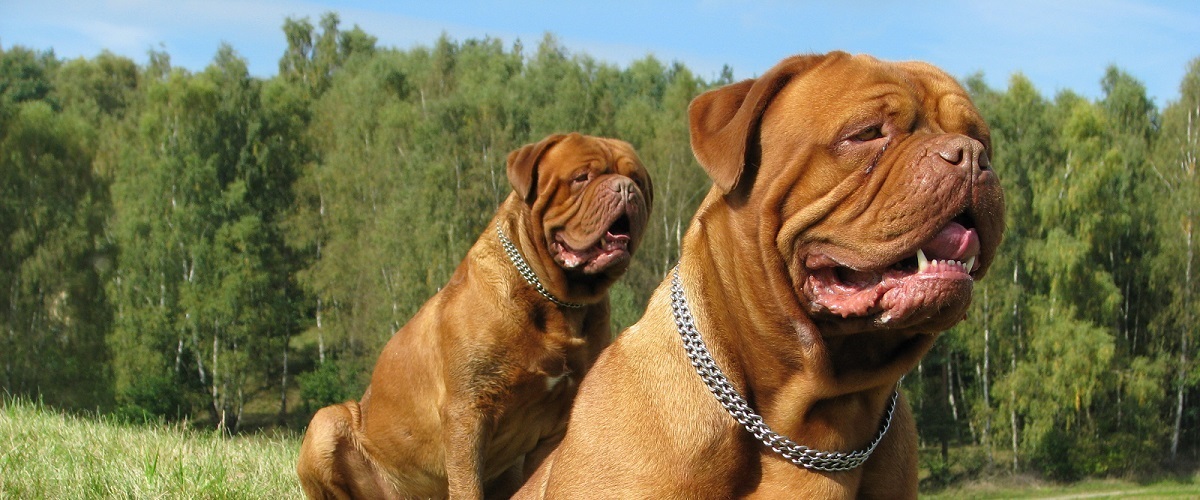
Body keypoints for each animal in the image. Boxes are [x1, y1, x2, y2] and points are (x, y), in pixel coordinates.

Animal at [296, 132, 653, 499]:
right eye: (581, 177)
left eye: (638, 180)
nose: (626, 189)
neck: (552, 297)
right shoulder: (467, 413)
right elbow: (467, 484)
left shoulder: (556, 422)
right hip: (326, 423)